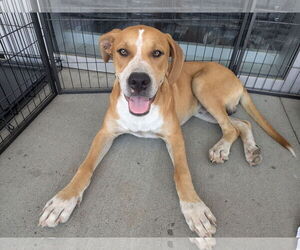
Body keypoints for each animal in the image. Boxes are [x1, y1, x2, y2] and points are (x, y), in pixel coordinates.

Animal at [39, 25, 296, 238]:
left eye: (157, 53)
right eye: (122, 51)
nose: (138, 81)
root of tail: (237, 77)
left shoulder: (175, 136)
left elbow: (182, 173)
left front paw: (195, 209)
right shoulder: (105, 133)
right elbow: (84, 167)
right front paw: (63, 201)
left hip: (202, 85)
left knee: (231, 128)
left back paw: (222, 149)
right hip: (201, 109)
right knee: (242, 124)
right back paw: (251, 150)